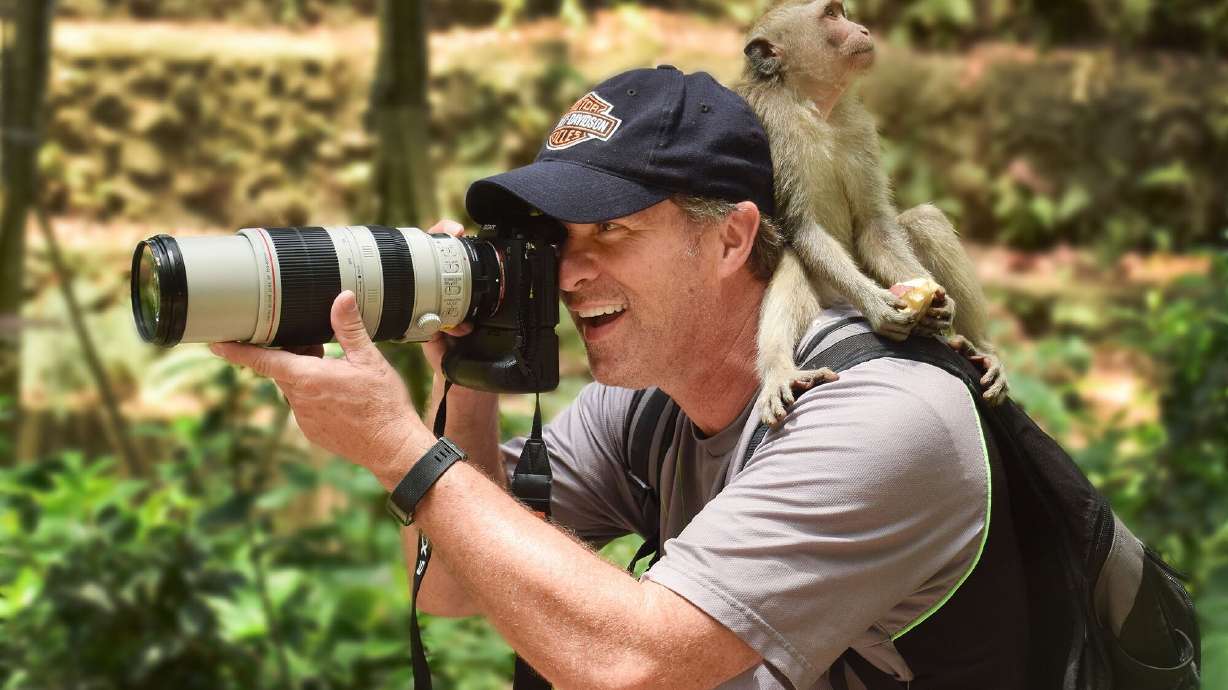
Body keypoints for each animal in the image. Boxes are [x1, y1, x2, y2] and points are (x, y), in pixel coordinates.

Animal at [734, 0, 1007, 425]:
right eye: (832, 16)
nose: (861, 29)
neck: (813, 106)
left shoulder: (859, 127)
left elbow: (874, 226)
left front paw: (938, 303)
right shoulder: (774, 126)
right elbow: (803, 228)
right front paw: (878, 305)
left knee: (924, 222)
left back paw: (983, 348)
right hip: (829, 294)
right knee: (795, 262)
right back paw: (780, 371)